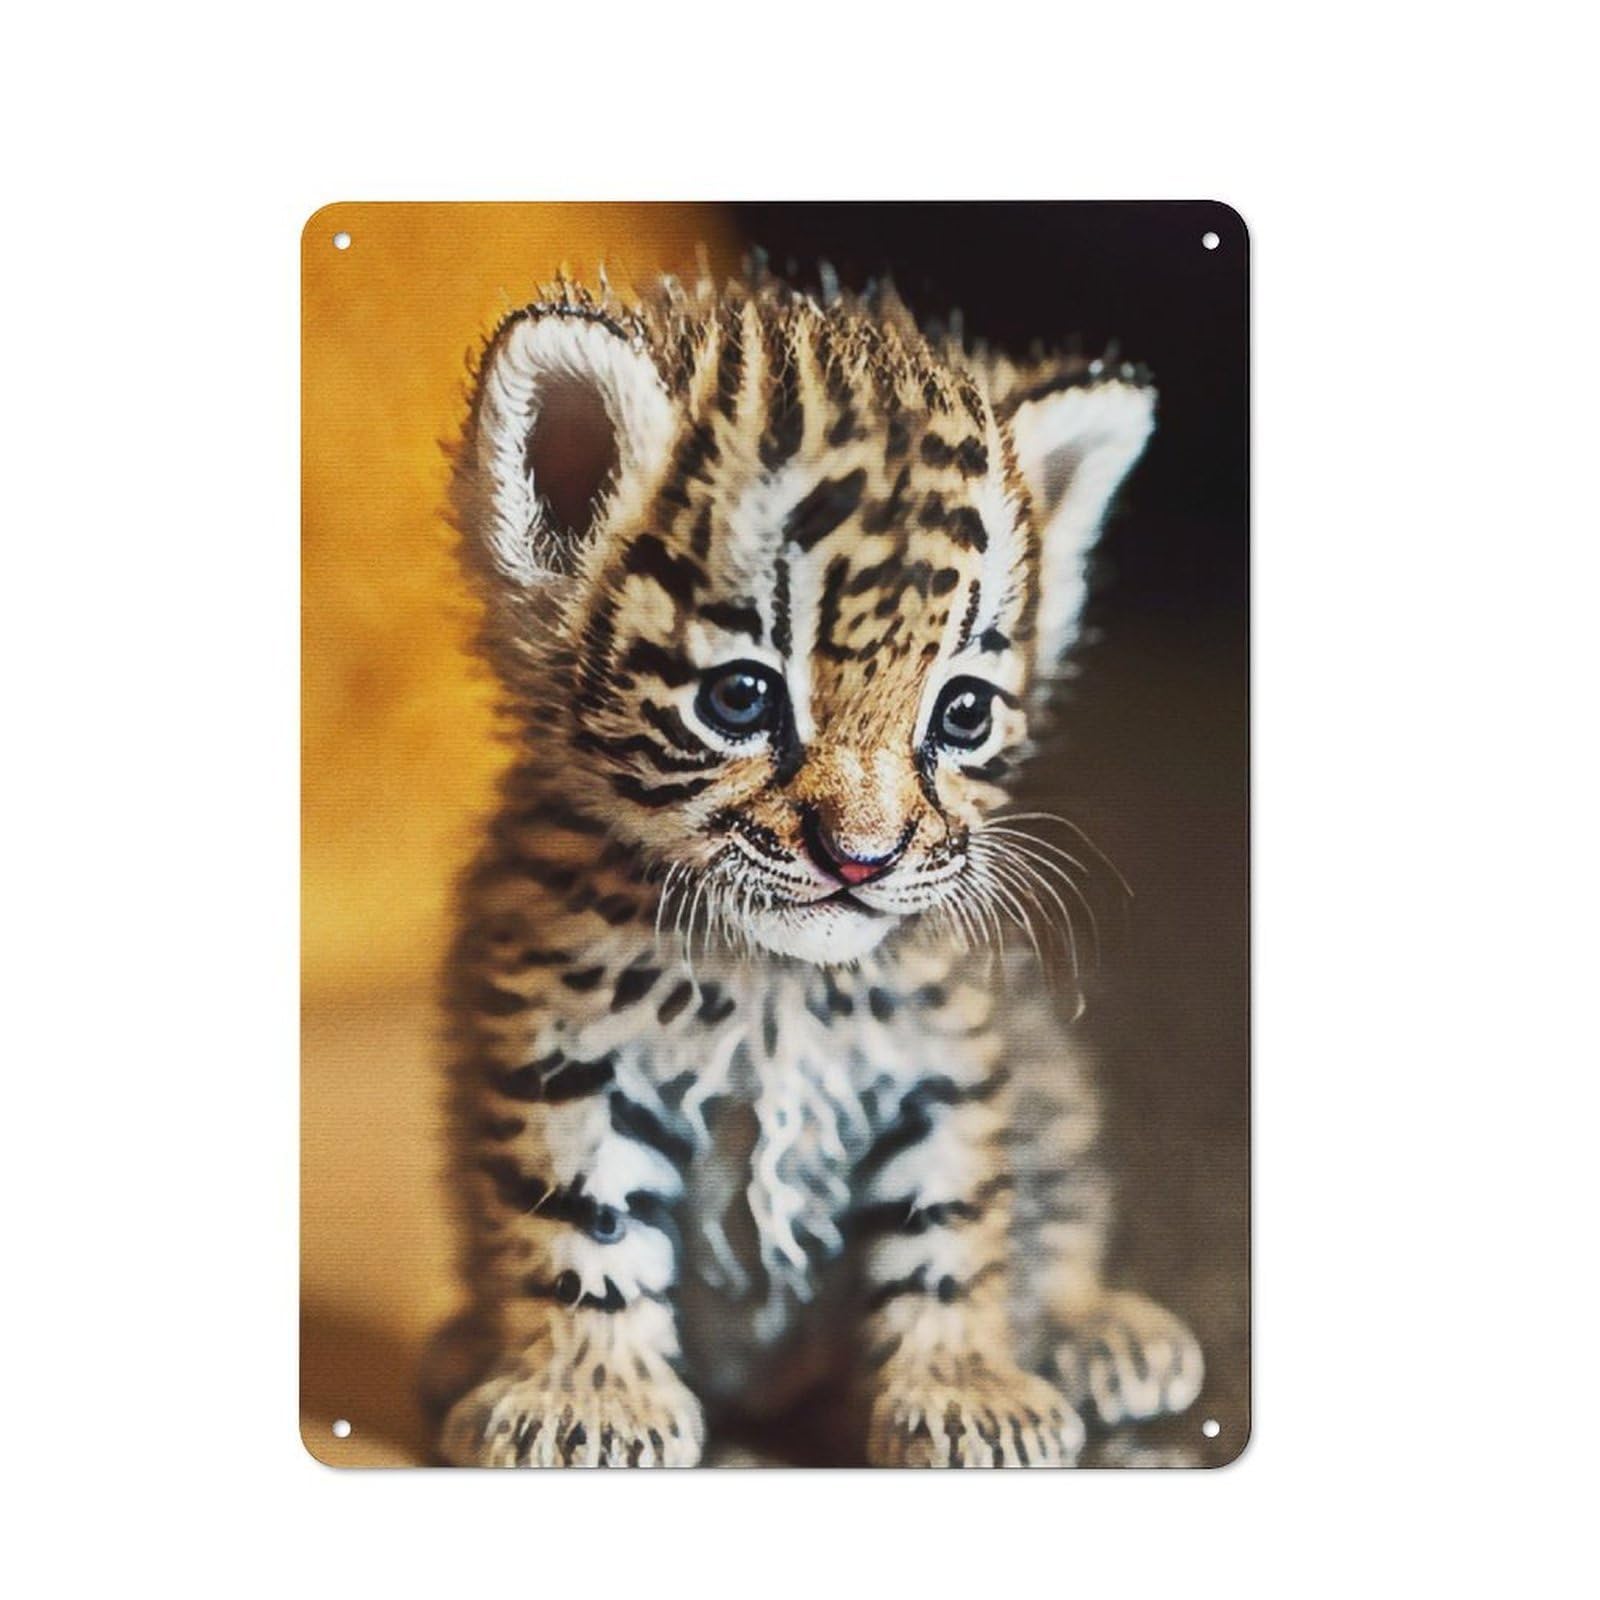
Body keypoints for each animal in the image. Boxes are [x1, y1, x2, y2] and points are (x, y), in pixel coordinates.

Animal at [433, 267, 1203, 1467]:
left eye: (962, 713)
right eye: (741, 698)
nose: (863, 856)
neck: (772, 981)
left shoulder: (946, 1047)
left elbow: (952, 1218)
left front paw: (964, 1387)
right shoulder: (562, 1040)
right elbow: (581, 1217)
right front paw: (589, 1398)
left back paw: (1100, 1331)